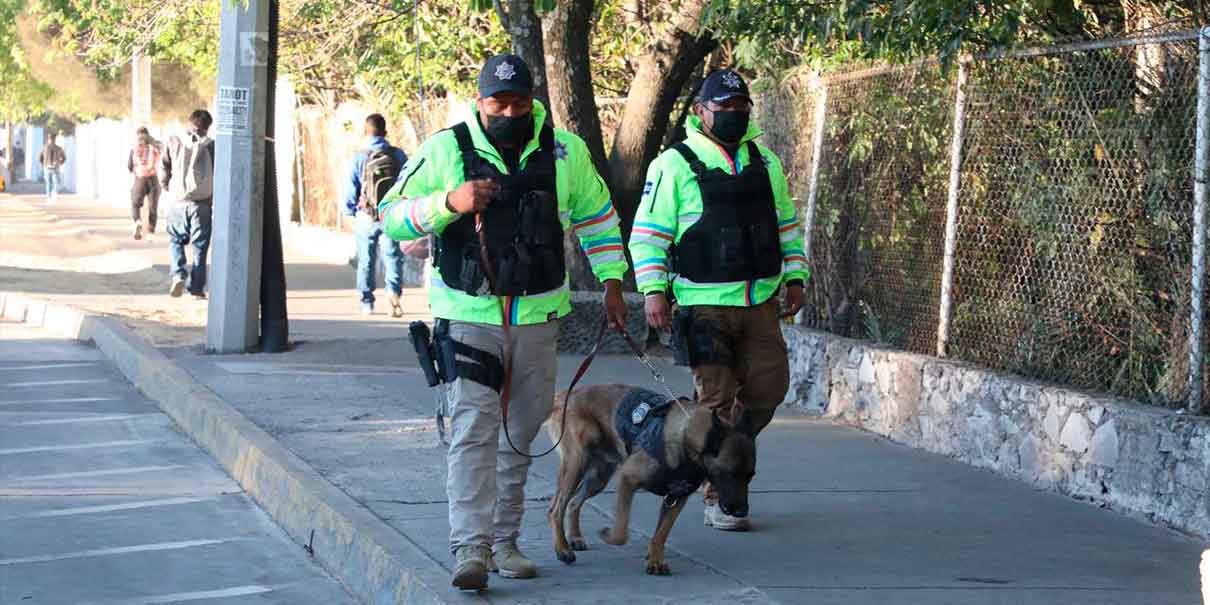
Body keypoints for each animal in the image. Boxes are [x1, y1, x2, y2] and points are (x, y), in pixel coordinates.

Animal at [549, 384, 755, 573]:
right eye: (728, 473)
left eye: (750, 476)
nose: (741, 512)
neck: (687, 436)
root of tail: (567, 394)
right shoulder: (627, 479)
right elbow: (621, 532)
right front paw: (610, 536)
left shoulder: (676, 498)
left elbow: (661, 533)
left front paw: (655, 560)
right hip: (576, 466)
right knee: (556, 508)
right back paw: (562, 549)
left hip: (598, 478)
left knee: (574, 502)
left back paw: (575, 538)